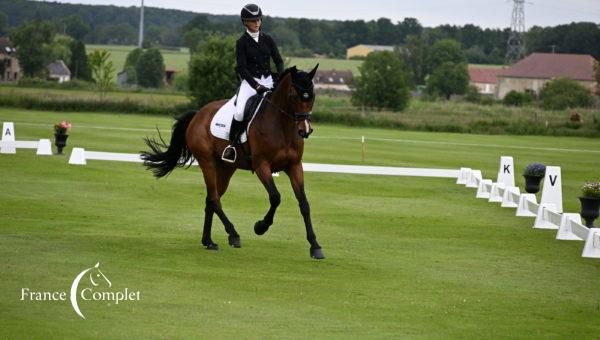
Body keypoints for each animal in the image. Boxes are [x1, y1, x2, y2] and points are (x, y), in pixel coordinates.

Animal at [141, 65, 324, 258]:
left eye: (312, 96)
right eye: (295, 96)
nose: (305, 130)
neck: (282, 127)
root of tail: (199, 114)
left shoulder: (294, 166)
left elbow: (304, 204)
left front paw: (315, 246)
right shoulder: (262, 165)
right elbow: (275, 197)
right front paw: (260, 227)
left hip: (226, 168)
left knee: (211, 199)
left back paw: (209, 241)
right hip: (207, 162)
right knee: (214, 199)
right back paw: (233, 234)